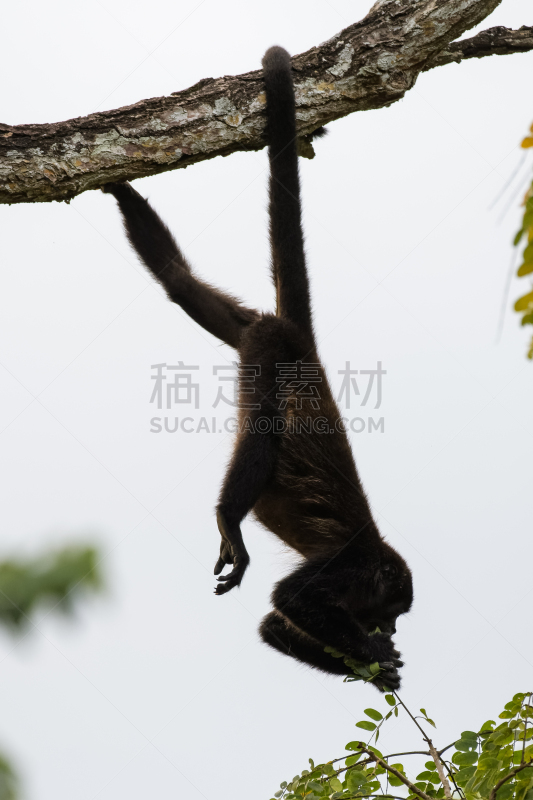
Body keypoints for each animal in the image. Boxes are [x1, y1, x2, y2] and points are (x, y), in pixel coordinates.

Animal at [103, 47, 412, 692]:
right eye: (393, 609)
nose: (391, 629)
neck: (375, 556)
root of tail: (301, 342)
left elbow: (272, 626)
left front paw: (380, 672)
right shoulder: (349, 569)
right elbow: (290, 600)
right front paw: (376, 656)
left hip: (250, 329)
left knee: (179, 282)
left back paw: (126, 199)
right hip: (271, 356)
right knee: (264, 429)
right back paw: (229, 518)